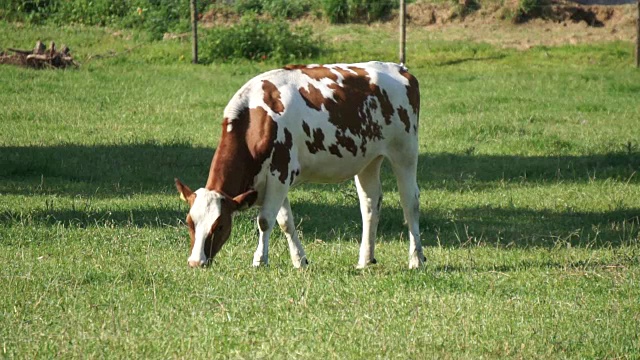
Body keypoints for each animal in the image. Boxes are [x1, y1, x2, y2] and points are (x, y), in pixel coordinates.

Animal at [175, 62, 424, 268]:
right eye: (189, 222)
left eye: (219, 225)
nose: (196, 262)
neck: (255, 118)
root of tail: (399, 68)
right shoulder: (273, 179)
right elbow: (285, 221)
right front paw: (299, 260)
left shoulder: (280, 173)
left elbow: (265, 220)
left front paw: (260, 261)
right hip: (368, 160)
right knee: (370, 204)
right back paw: (365, 260)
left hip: (405, 152)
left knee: (409, 201)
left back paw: (416, 259)